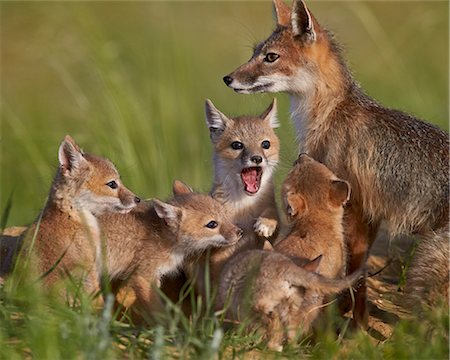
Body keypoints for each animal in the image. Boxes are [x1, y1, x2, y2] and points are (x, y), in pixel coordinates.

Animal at [223, 0, 448, 326]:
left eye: (270, 57)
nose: (227, 78)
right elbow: (358, 270)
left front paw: (355, 323)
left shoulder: (355, 207)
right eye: (254, 52)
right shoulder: (368, 213)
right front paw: (352, 316)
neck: (330, 113)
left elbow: (354, 271)